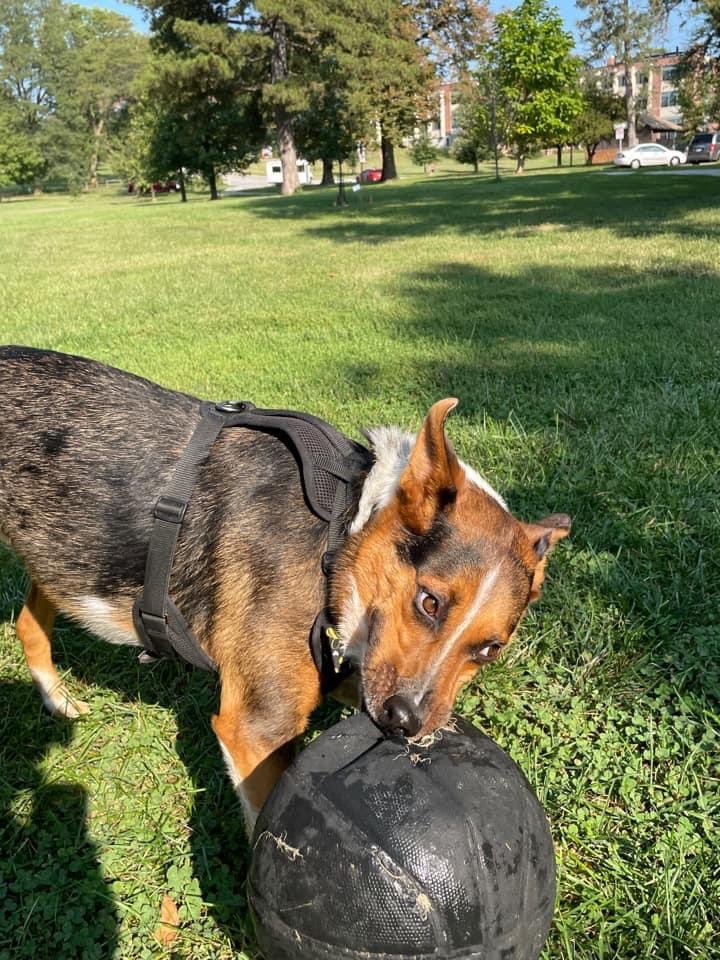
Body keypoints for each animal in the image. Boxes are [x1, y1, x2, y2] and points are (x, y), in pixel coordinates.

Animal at [0, 348, 572, 828]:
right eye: (428, 602)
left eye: (489, 650)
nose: (405, 723)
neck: (342, 531)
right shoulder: (257, 731)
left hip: (62, 555)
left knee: (28, 623)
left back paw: (57, 701)